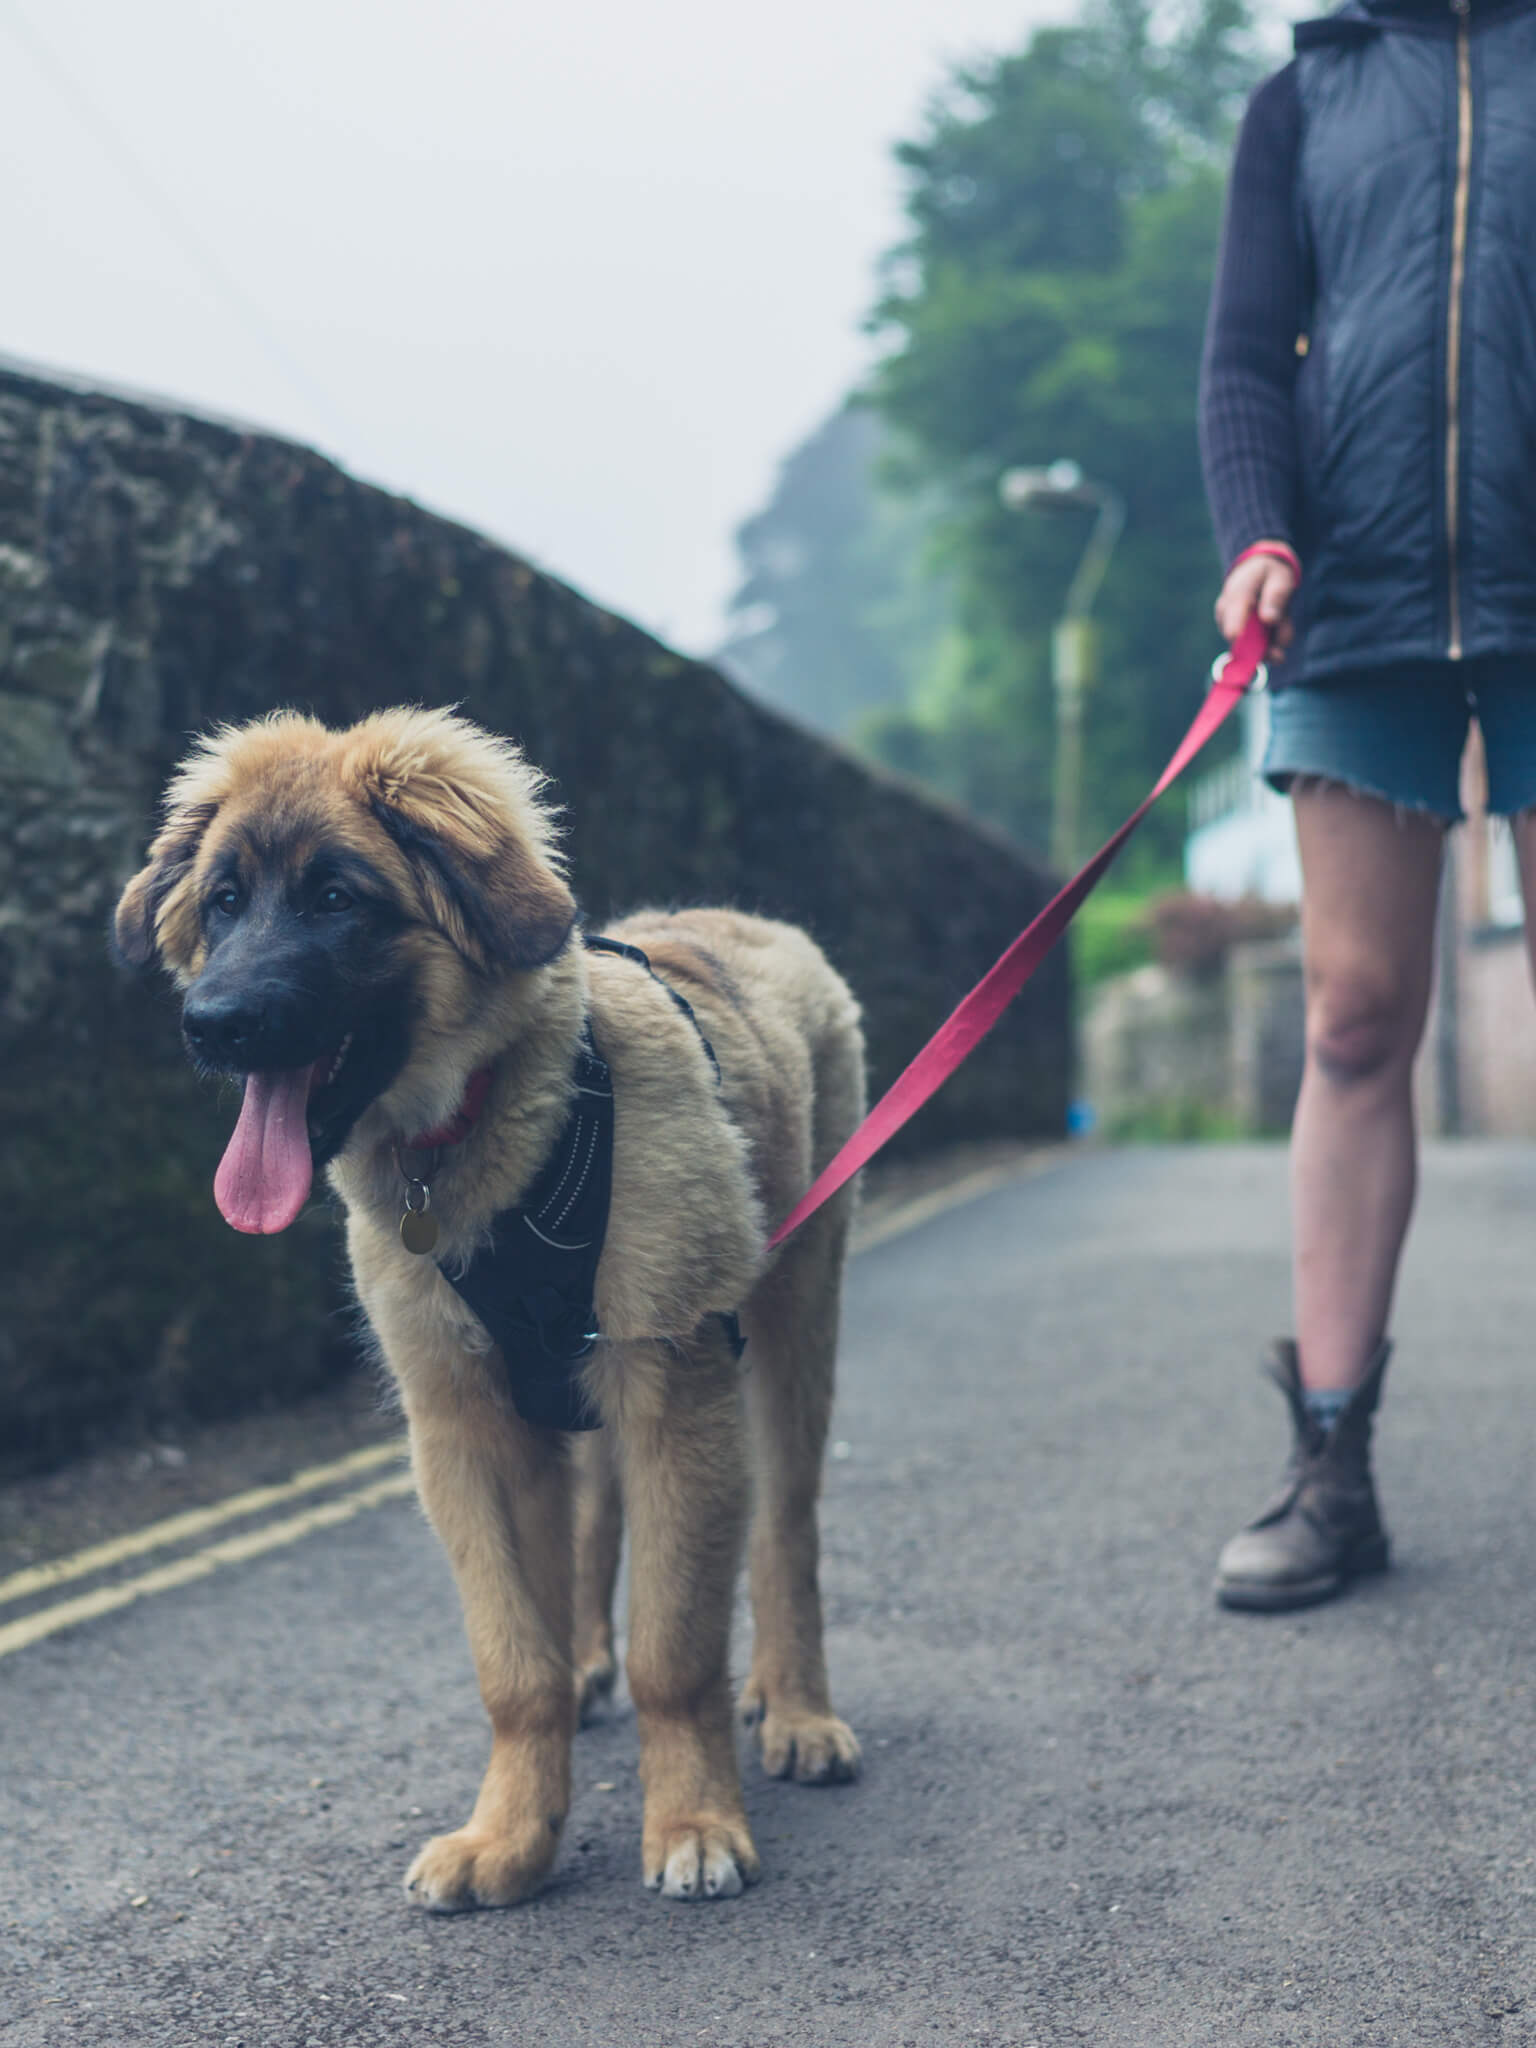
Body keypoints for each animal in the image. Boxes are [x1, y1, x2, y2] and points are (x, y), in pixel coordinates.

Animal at [111, 700, 868, 1900]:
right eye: (223, 901)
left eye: (337, 898)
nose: (211, 1022)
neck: (480, 1136)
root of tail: (747, 921)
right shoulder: (464, 1424)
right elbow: (518, 1665)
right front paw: (511, 1836)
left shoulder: (675, 1390)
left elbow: (676, 1649)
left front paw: (693, 1820)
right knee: (599, 1522)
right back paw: (599, 1663)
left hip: (794, 1327)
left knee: (787, 1526)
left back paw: (797, 1710)